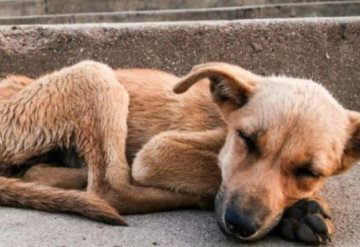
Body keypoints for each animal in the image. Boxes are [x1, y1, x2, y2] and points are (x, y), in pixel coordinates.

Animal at [0, 60, 360, 244]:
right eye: (246, 139)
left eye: (309, 172)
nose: (240, 225)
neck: (222, 119)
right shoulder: (157, 151)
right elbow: (214, 173)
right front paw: (298, 211)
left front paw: (299, 209)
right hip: (94, 72)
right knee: (110, 188)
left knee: (38, 172)